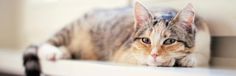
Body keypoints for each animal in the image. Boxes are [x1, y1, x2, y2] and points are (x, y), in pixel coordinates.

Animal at [22, 1, 210, 76]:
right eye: (146, 40)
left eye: (169, 41)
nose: (155, 54)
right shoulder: (124, 52)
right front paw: (169, 61)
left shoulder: (205, 36)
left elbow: (203, 55)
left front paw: (189, 58)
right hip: (71, 29)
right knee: (45, 43)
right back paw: (53, 52)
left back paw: (65, 52)